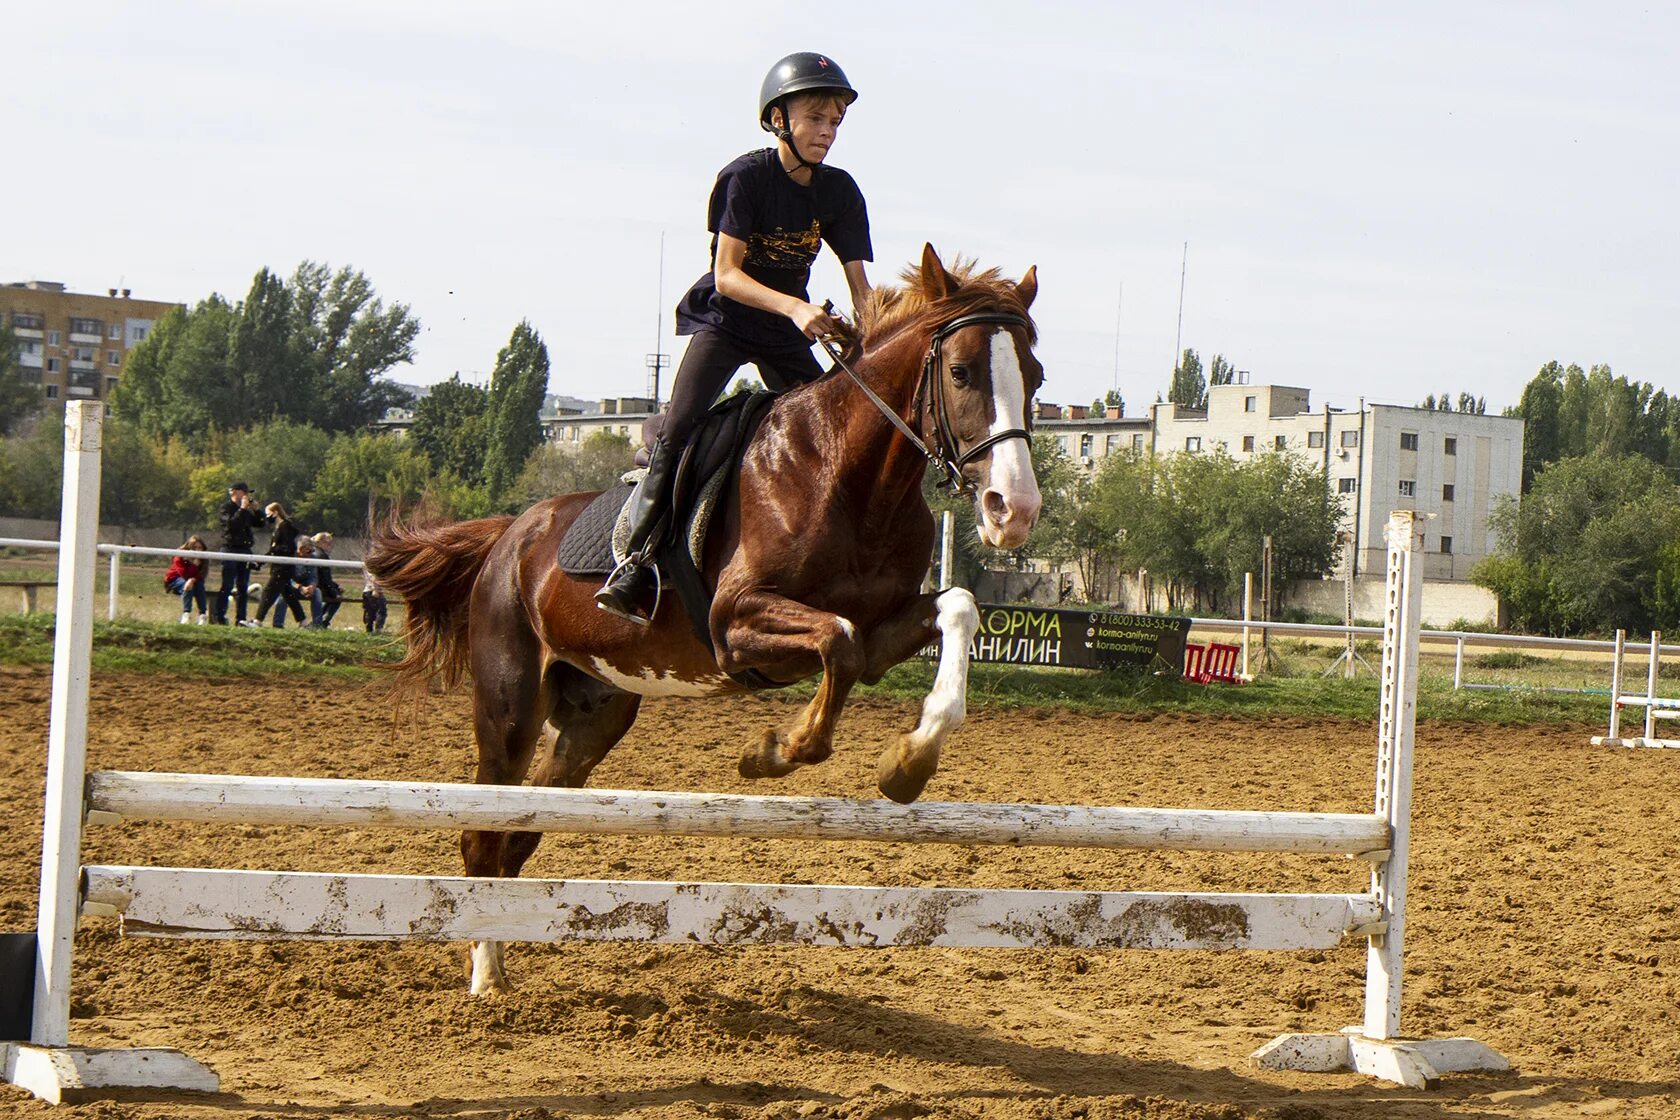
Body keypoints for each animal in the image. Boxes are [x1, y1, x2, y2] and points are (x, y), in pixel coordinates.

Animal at [371, 245, 1034, 987]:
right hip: (509, 706)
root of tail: (509, 534)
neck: (851, 478)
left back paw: (497, 963)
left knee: (521, 831)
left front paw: (909, 762)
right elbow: (838, 643)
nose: (1015, 511)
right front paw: (772, 752)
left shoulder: (884, 625)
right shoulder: (734, 627)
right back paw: (486, 976)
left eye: (1036, 377)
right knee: (484, 831)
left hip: (594, 714)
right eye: (961, 372)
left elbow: (951, 611)